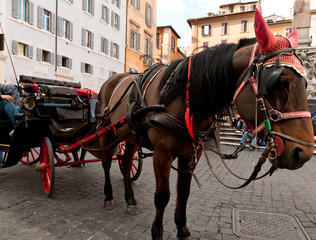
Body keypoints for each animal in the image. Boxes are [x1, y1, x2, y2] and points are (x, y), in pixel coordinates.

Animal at [95, 8, 314, 238]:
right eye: (279, 82)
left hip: (130, 136)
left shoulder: (192, 152)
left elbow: (184, 191)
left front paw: (182, 229)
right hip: (106, 131)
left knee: (126, 163)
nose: (303, 153)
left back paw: (130, 199)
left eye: (305, 83)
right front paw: (157, 232)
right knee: (107, 162)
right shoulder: (162, 153)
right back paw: (109, 196)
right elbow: (162, 196)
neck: (185, 97)